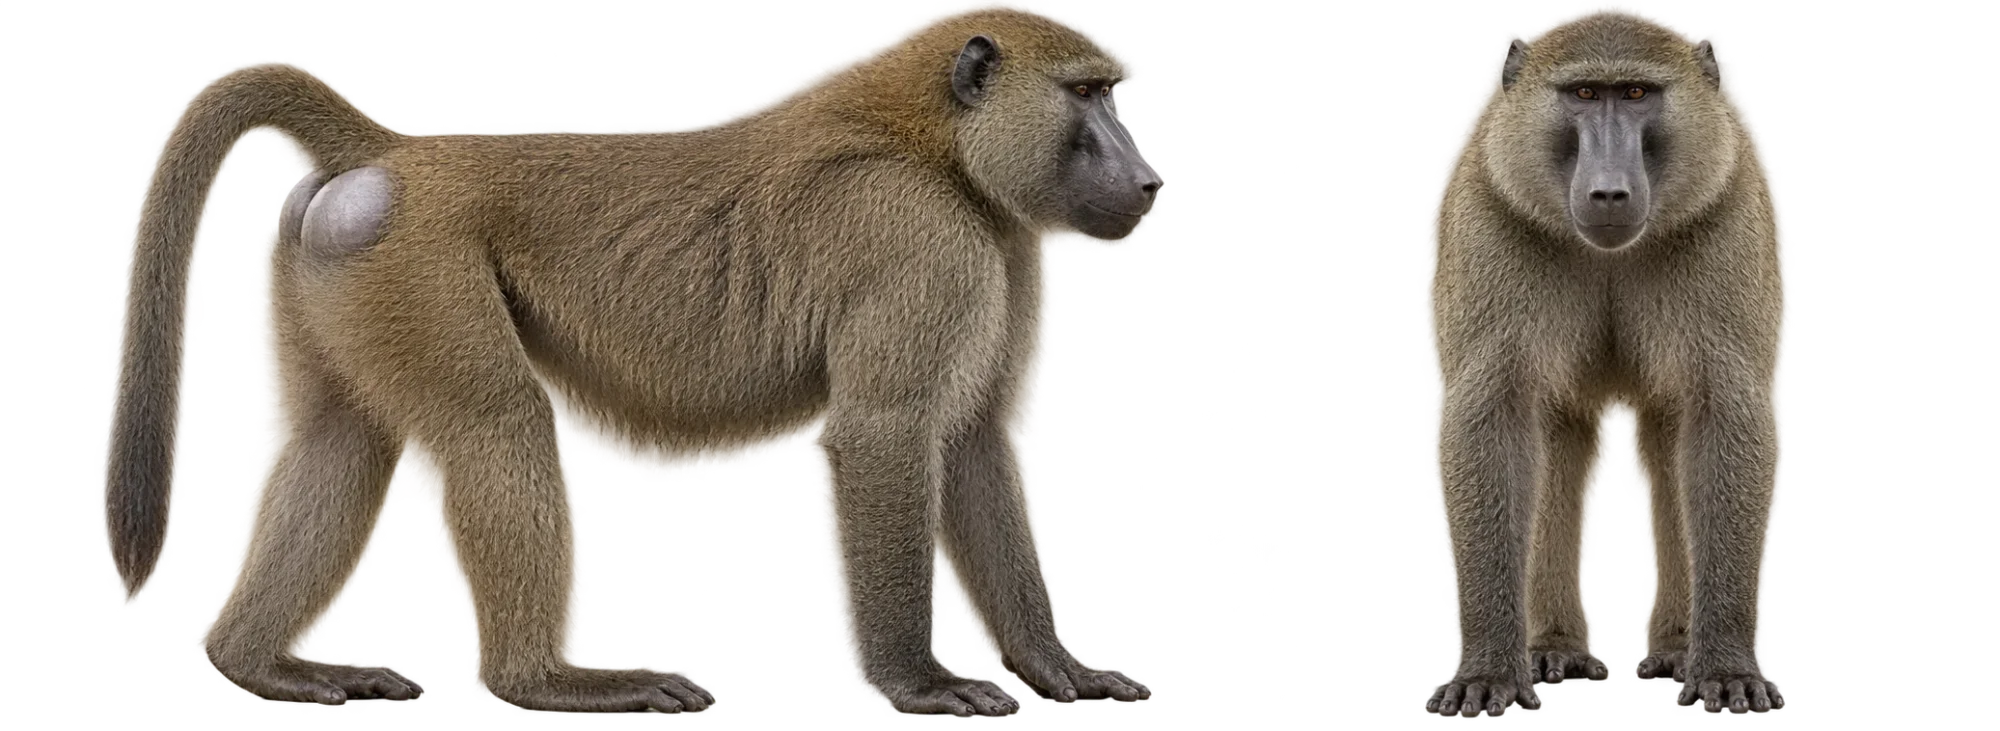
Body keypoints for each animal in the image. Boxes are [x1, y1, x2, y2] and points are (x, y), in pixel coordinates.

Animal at [98, 0, 1161, 717]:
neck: (937, 140)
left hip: (338, 281)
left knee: (341, 440)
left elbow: (976, 443)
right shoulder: (919, 239)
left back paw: (260, 661)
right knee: (497, 424)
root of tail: (399, 157)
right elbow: (887, 431)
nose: (1149, 179)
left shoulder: (1000, 251)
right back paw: (548, 681)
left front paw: (1055, 666)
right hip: (419, 268)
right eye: (1085, 97)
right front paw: (922, 681)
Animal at [1417, 3, 1789, 719]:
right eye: (1585, 94)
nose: (1610, 193)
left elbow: (1724, 416)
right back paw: (1552, 648)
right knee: (1564, 442)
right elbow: (1491, 420)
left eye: (1637, 93)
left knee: (1664, 442)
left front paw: (1727, 670)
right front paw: (1487, 675)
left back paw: (1675, 650)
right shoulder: (1489, 213)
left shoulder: (1727, 214)